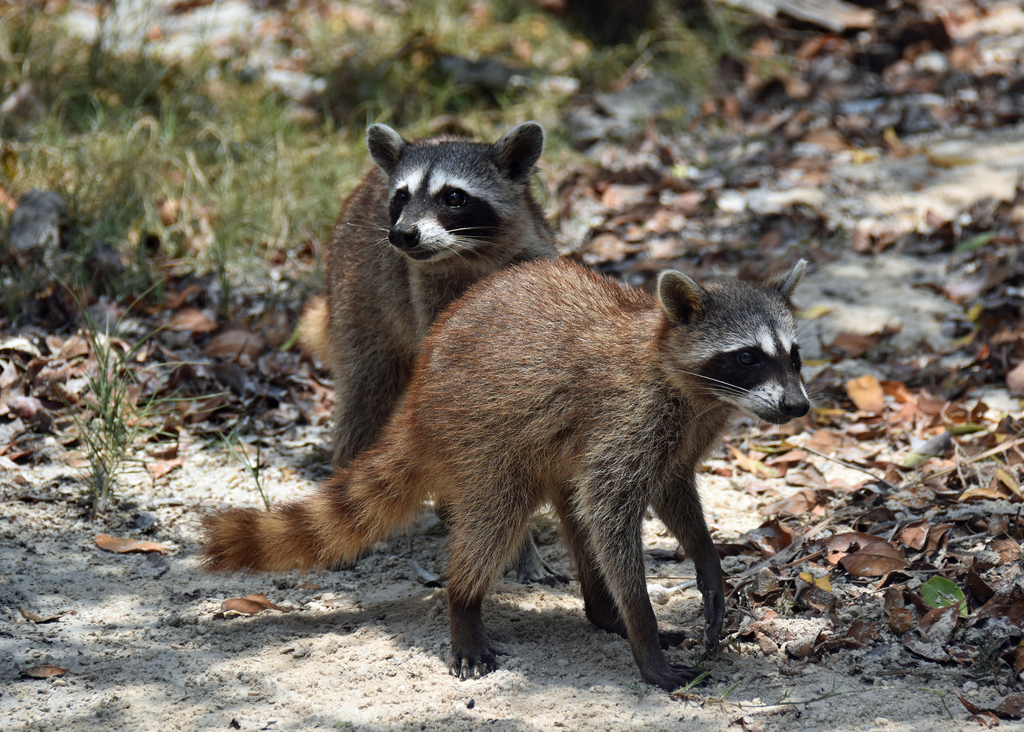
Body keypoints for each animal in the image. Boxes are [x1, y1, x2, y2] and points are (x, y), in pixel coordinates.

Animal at [205, 258, 810, 690]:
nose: (799, 406)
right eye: (748, 356)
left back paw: (601, 611)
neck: (694, 387)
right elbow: (610, 508)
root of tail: (418, 401)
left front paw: (707, 566)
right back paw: (465, 601)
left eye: (794, 354)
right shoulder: (630, 415)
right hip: (481, 436)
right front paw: (643, 633)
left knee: (571, 512)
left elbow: (670, 490)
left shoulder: (685, 433)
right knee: (498, 517)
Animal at [300, 122, 560, 584]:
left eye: (454, 197)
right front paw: (517, 545)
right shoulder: (430, 299)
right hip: (358, 292)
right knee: (367, 393)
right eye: (402, 197)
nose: (402, 233)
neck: (468, 256)